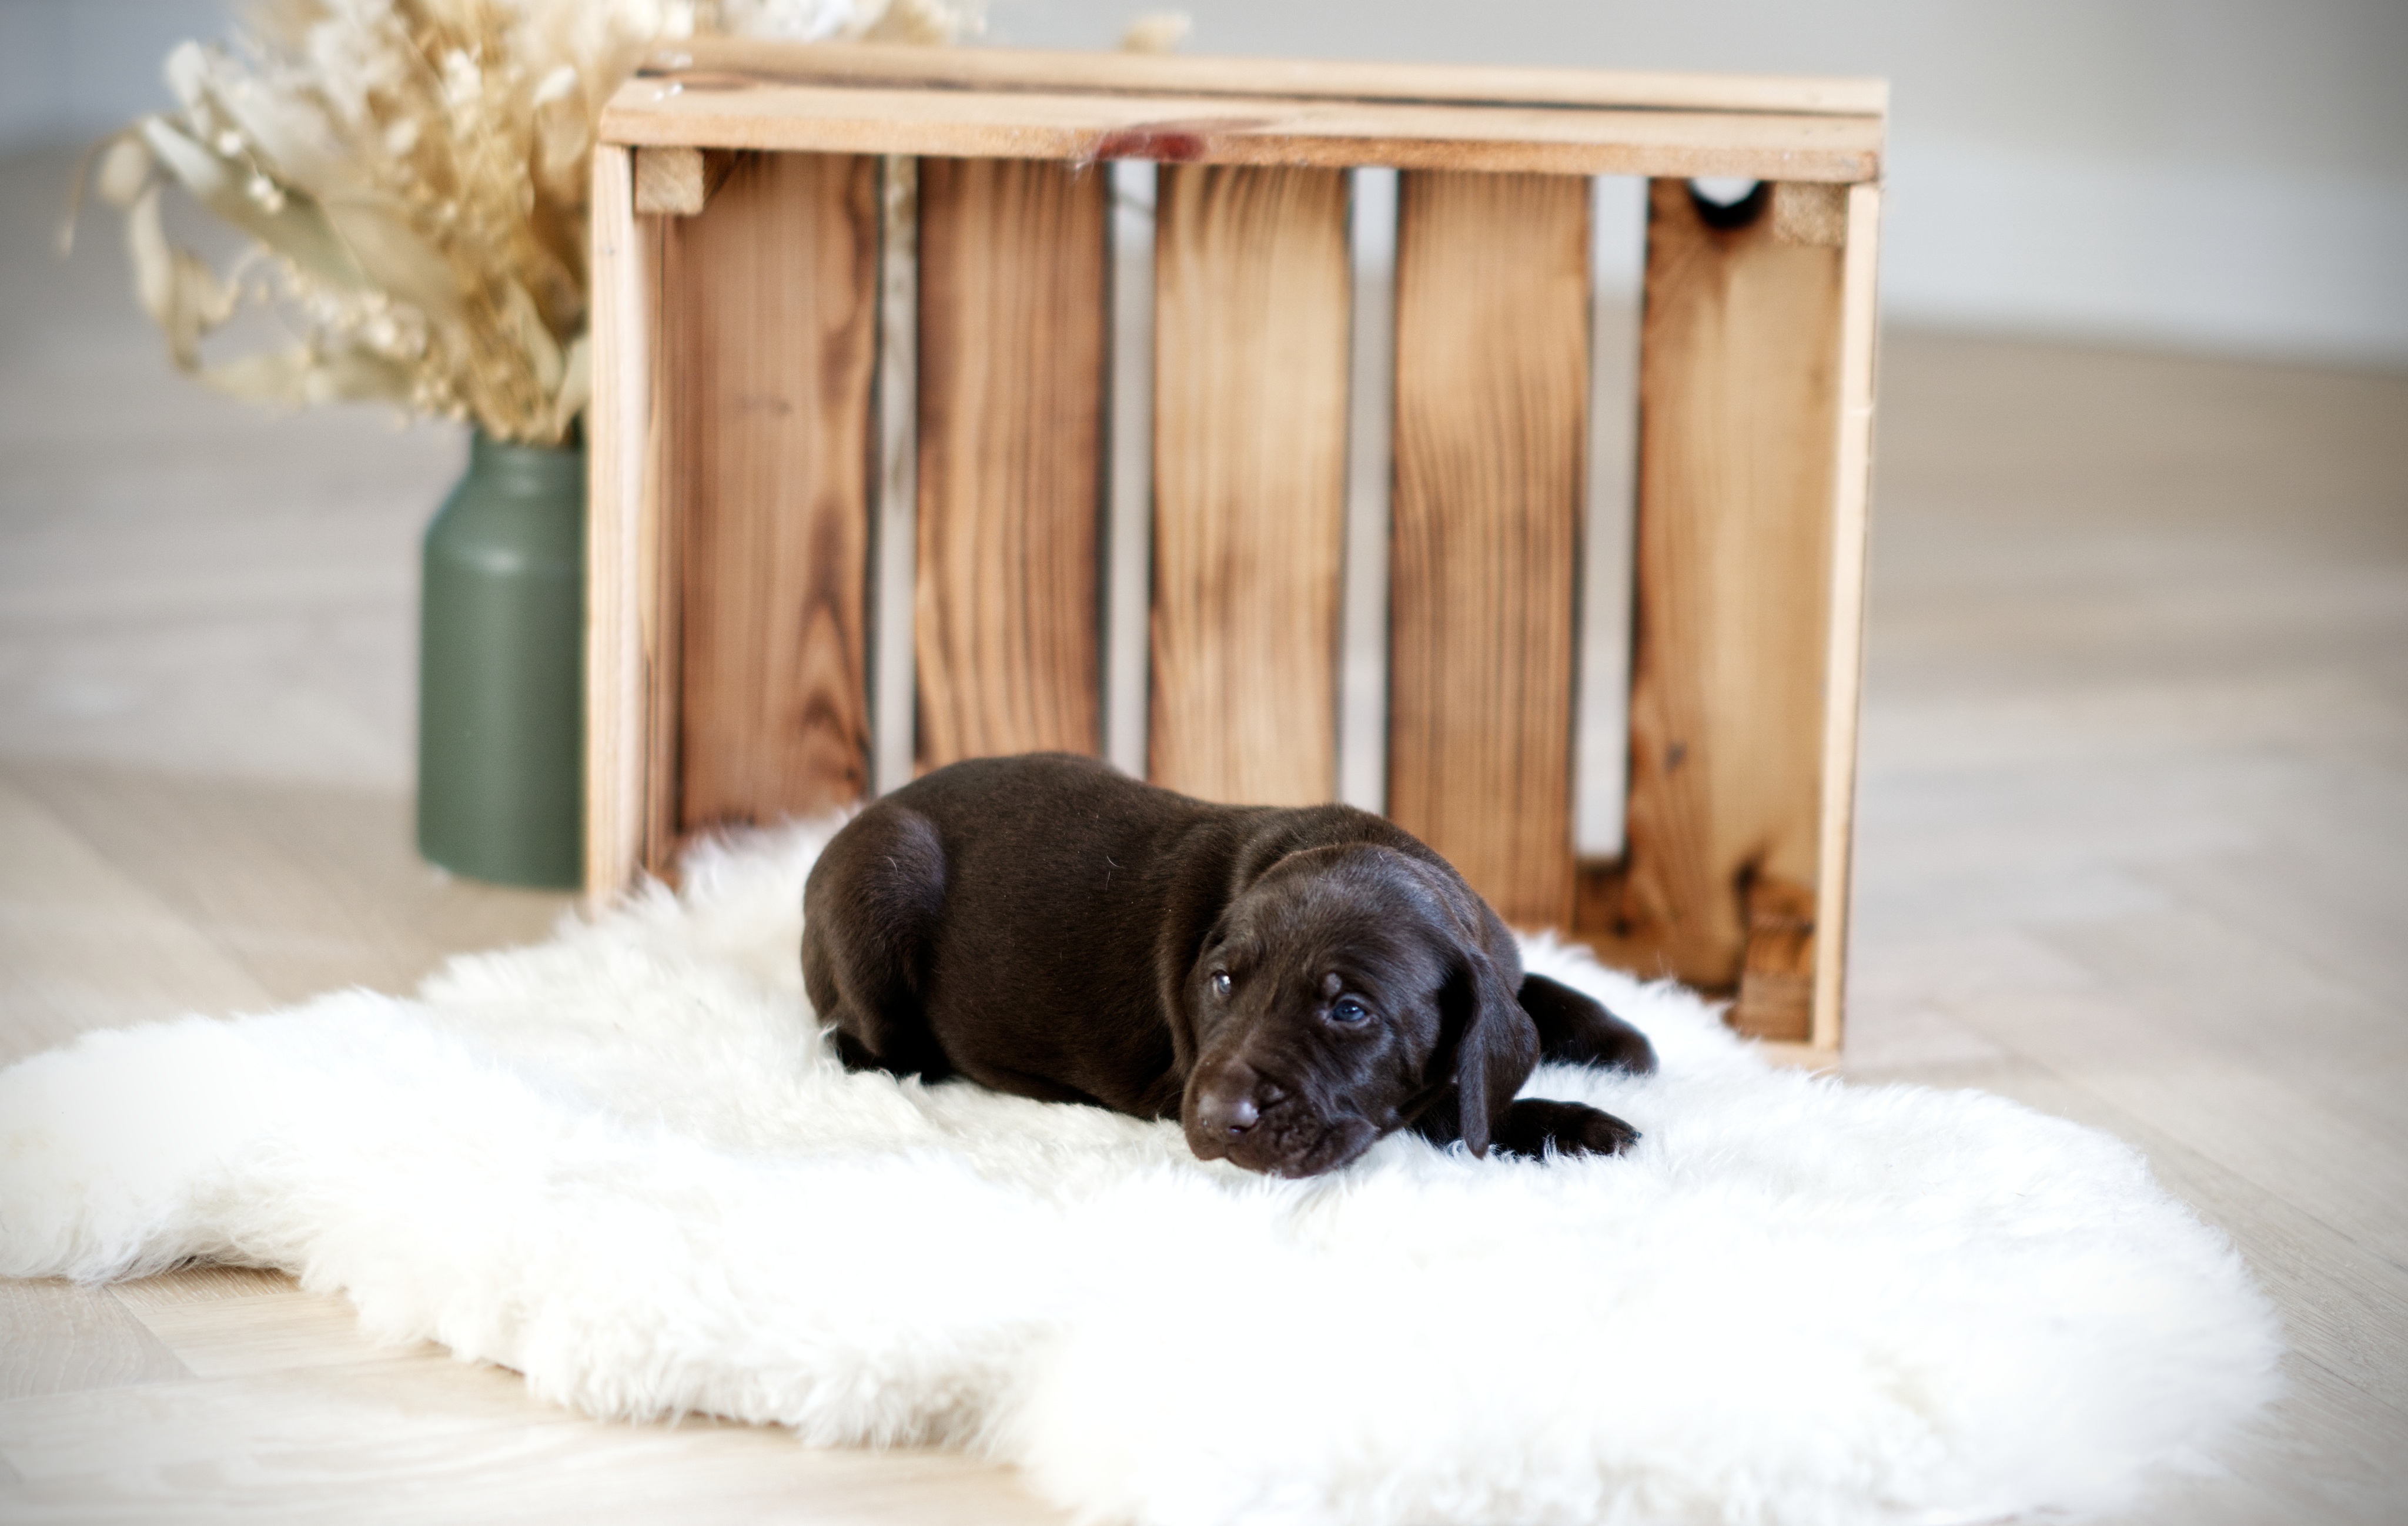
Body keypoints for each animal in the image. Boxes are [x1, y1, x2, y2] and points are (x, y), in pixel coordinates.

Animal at [802, 752, 1653, 1178]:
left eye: (1350, 1010)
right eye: (1220, 985)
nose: (1215, 1117)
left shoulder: (1491, 961)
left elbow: (1531, 992)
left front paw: (1618, 1041)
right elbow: (1441, 1110)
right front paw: (1575, 1127)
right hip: (883, 880)